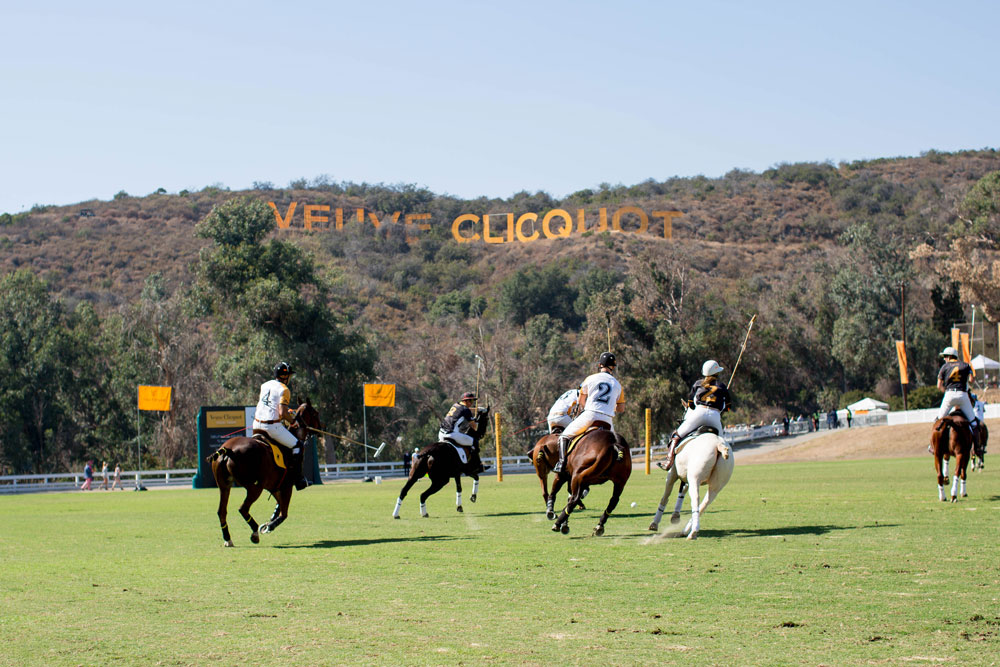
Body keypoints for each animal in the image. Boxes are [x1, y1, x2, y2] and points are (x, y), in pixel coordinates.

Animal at [207, 402, 320, 548]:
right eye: (315, 413)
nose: (320, 429)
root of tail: (228, 450)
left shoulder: (275, 487)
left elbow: (279, 508)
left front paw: (269, 523)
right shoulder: (286, 487)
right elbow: (284, 513)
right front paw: (269, 526)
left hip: (224, 485)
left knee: (221, 511)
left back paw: (228, 539)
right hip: (255, 487)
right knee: (243, 509)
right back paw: (255, 533)